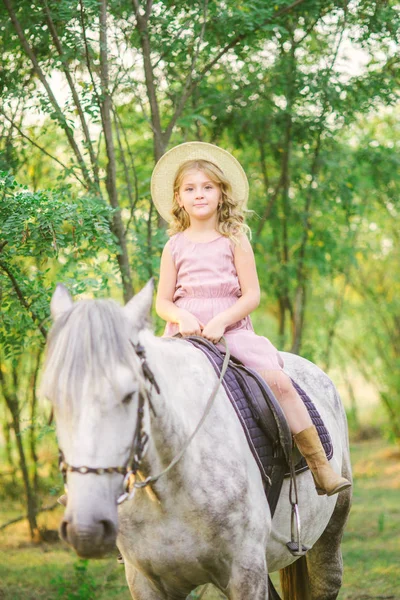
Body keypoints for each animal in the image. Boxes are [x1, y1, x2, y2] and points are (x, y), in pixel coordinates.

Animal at [42, 282, 352, 600]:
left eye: (129, 394)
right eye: (51, 399)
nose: (86, 527)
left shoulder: (246, 573)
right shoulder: (143, 580)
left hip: (329, 536)